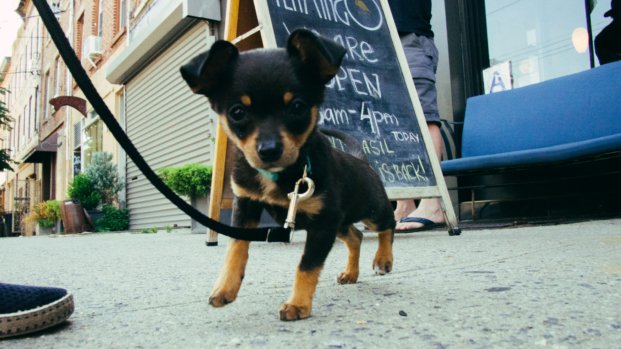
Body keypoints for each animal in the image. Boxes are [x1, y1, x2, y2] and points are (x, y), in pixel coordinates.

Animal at [179, 29, 394, 320]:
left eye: (298, 107)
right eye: (237, 112)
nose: (269, 150)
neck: (280, 175)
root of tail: (363, 161)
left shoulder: (323, 223)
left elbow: (307, 265)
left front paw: (298, 304)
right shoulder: (246, 205)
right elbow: (235, 249)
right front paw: (225, 288)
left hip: (370, 212)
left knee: (388, 224)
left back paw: (383, 259)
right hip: (339, 223)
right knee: (356, 237)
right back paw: (351, 273)